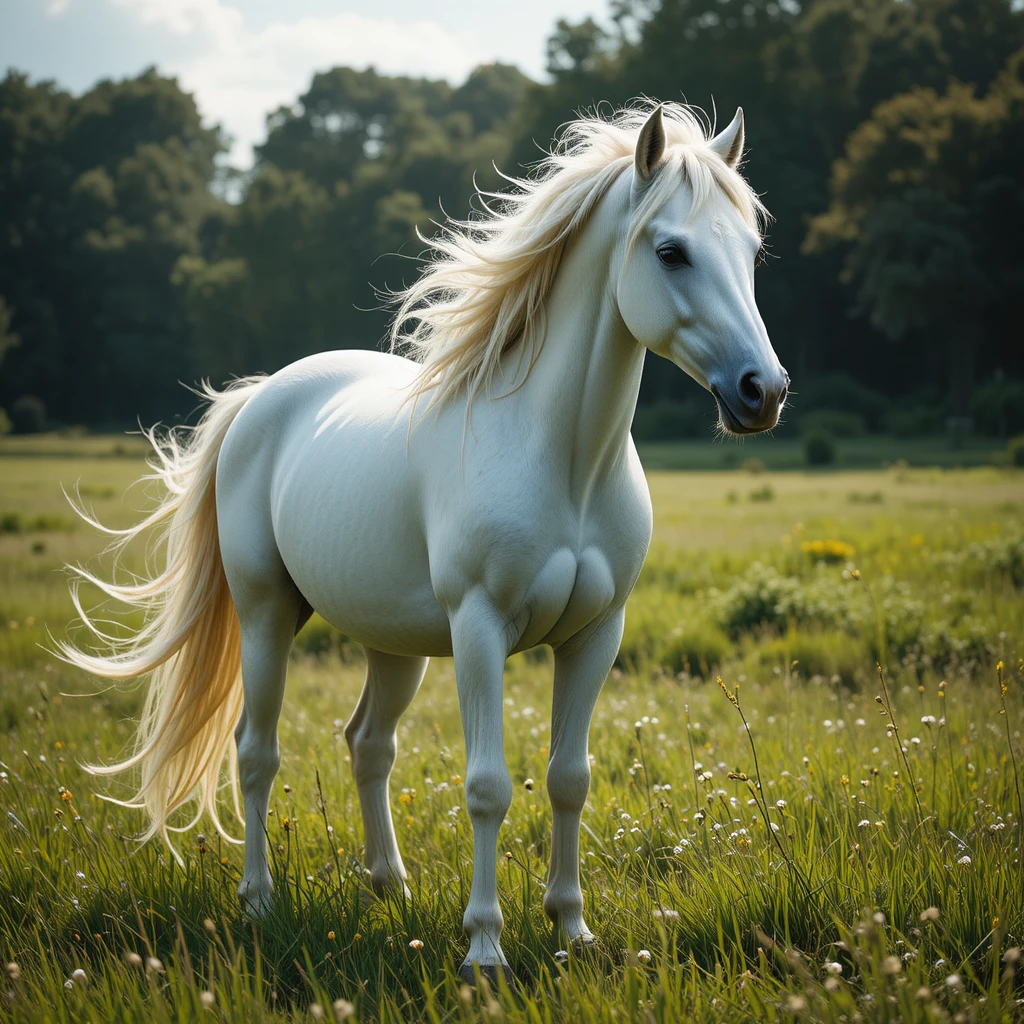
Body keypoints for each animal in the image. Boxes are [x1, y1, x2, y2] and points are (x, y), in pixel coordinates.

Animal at [59, 101, 788, 982]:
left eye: (751, 250)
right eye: (671, 250)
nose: (762, 392)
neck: (565, 460)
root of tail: (259, 398)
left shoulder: (595, 635)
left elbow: (569, 779)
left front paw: (572, 928)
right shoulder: (480, 628)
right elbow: (488, 786)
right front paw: (485, 946)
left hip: (394, 644)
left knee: (368, 745)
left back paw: (389, 885)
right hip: (267, 617)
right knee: (256, 753)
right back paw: (259, 902)